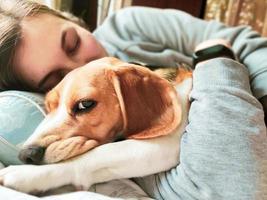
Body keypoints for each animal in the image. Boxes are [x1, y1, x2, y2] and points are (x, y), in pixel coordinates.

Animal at [0, 56, 193, 194]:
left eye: (85, 104)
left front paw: (27, 174)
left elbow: (95, 155)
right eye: (49, 107)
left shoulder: (164, 145)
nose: (25, 155)